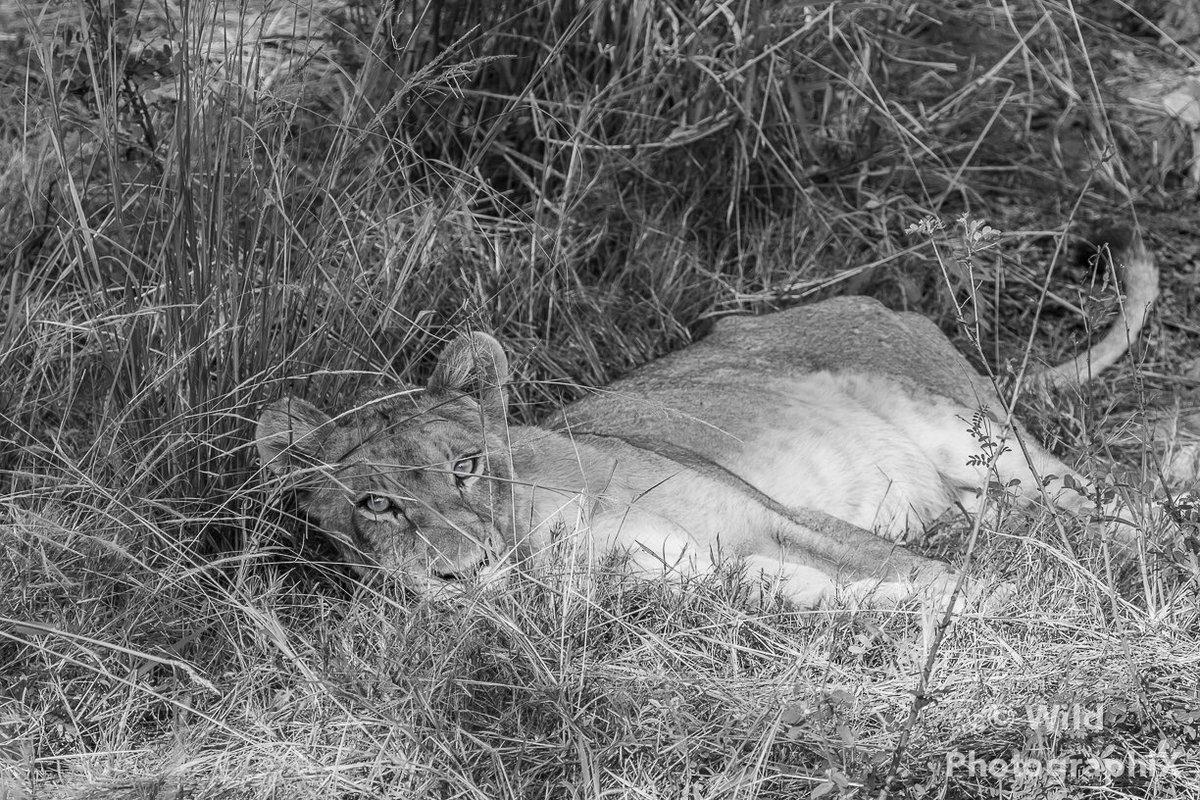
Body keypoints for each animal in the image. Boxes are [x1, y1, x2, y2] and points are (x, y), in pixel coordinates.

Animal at [256, 234, 1157, 609]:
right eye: (376, 505)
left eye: (466, 467)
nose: (461, 573)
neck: (542, 536)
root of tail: (883, 303)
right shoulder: (727, 579)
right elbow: (860, 599)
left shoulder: (776, 515)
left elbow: (942, 582)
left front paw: (1013, 606)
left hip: (976, 436)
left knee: (1122, 508)